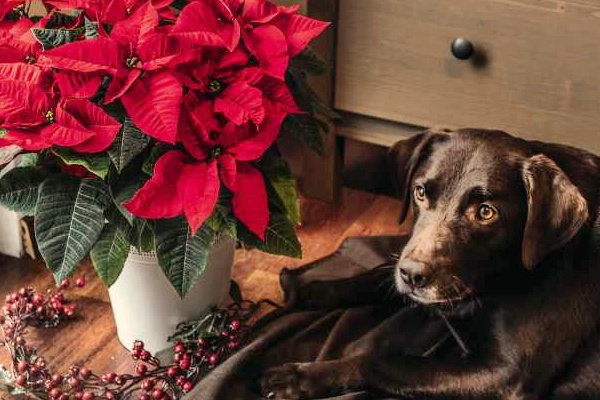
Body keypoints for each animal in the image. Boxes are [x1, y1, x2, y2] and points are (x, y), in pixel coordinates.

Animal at [262, 129, 600, 400]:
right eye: (420, 192)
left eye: (486, 212)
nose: (413, 275)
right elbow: (373, 277)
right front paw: (307, 290)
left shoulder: (504, 377)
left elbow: (384, 360)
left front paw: (300, 377)